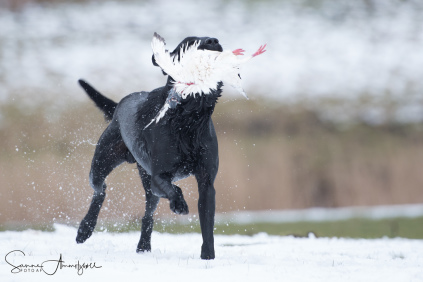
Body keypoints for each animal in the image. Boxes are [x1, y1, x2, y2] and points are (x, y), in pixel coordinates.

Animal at [76, 35, 224, 260]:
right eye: (189, 43)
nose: (213, 40)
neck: (188, 120)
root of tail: (120, 104)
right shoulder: (158, 177)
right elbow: (173, 188)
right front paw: (179, 204)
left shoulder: (207, 183)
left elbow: (207, 225)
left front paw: (208, 257)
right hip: (102, 163)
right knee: (100, 190)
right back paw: (85, 228)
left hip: (144, 182)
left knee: (147, 216)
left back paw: (143, 246)